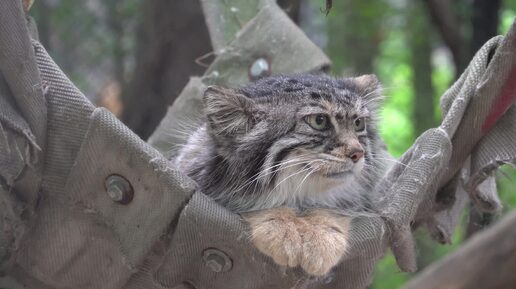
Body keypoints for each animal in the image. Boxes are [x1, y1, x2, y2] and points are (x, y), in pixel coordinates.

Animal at [175, 73, 390, 276]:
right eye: (319, 121)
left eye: (358, 123)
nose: (358, 153)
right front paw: (282, 227)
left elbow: (332, 208)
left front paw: (321, 237)